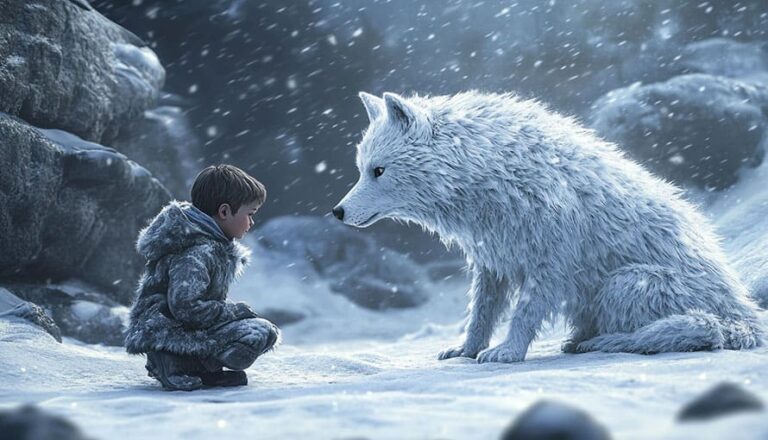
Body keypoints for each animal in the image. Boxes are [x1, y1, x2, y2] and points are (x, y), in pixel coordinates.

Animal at [332, 91, 765, 363]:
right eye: (361, 169)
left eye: (378, 171)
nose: (338, 212)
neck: (491, 174)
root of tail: (746, 315)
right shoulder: (491, 260)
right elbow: (480, 312)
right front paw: (465, 350)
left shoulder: (552, 261)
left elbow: (525, 312)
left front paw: (506, 353)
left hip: (628, 282)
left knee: (692, 331)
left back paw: (601, 342)